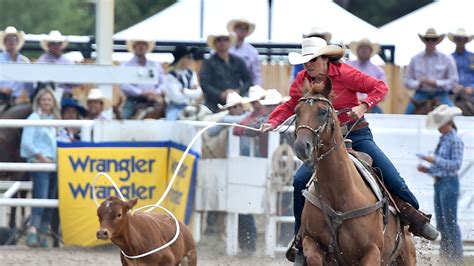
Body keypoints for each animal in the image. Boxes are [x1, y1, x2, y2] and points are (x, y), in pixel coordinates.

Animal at [292, 84, 414, 264]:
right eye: (297, 111)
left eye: (323, 111)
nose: (301, 146)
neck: (340, 194)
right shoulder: (311, 241)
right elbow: (313, 254)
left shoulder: (372, 252)